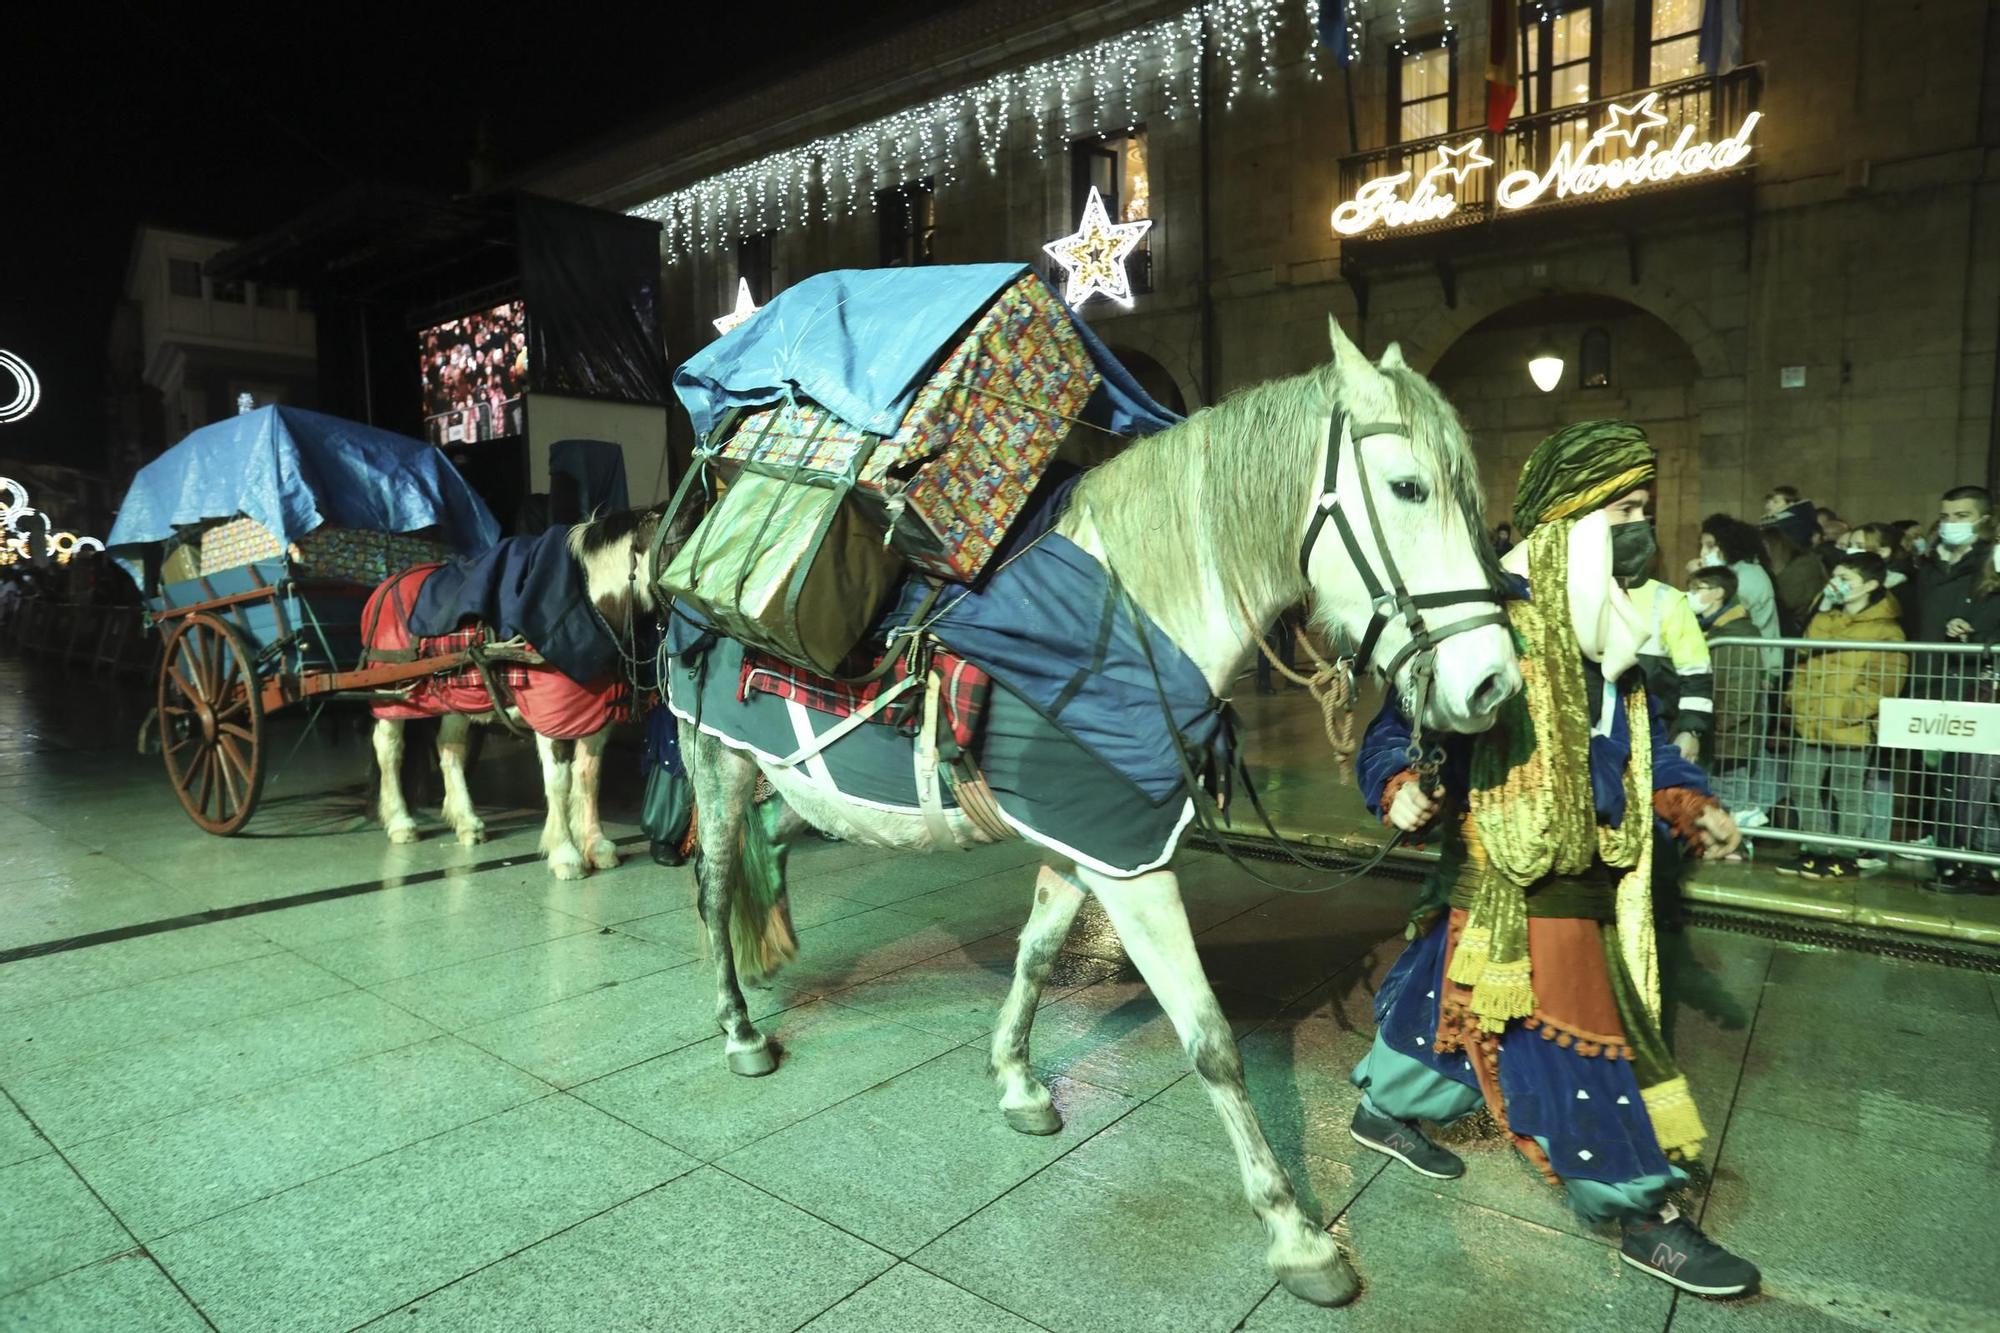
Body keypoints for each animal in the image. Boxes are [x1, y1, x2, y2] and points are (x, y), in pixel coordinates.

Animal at [664, 316, 1520, 1304]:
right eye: (1408, 486)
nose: (1492, 683)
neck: (1130, 627)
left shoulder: (1092, 842)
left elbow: (1037, 955)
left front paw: (1017, 1080)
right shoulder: (1132, 865)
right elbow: (1210, 1038)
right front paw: (1296, 1233)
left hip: (801, 787)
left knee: (764, 854)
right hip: (716, 761)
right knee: (713, 884)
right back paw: (739, 1027)